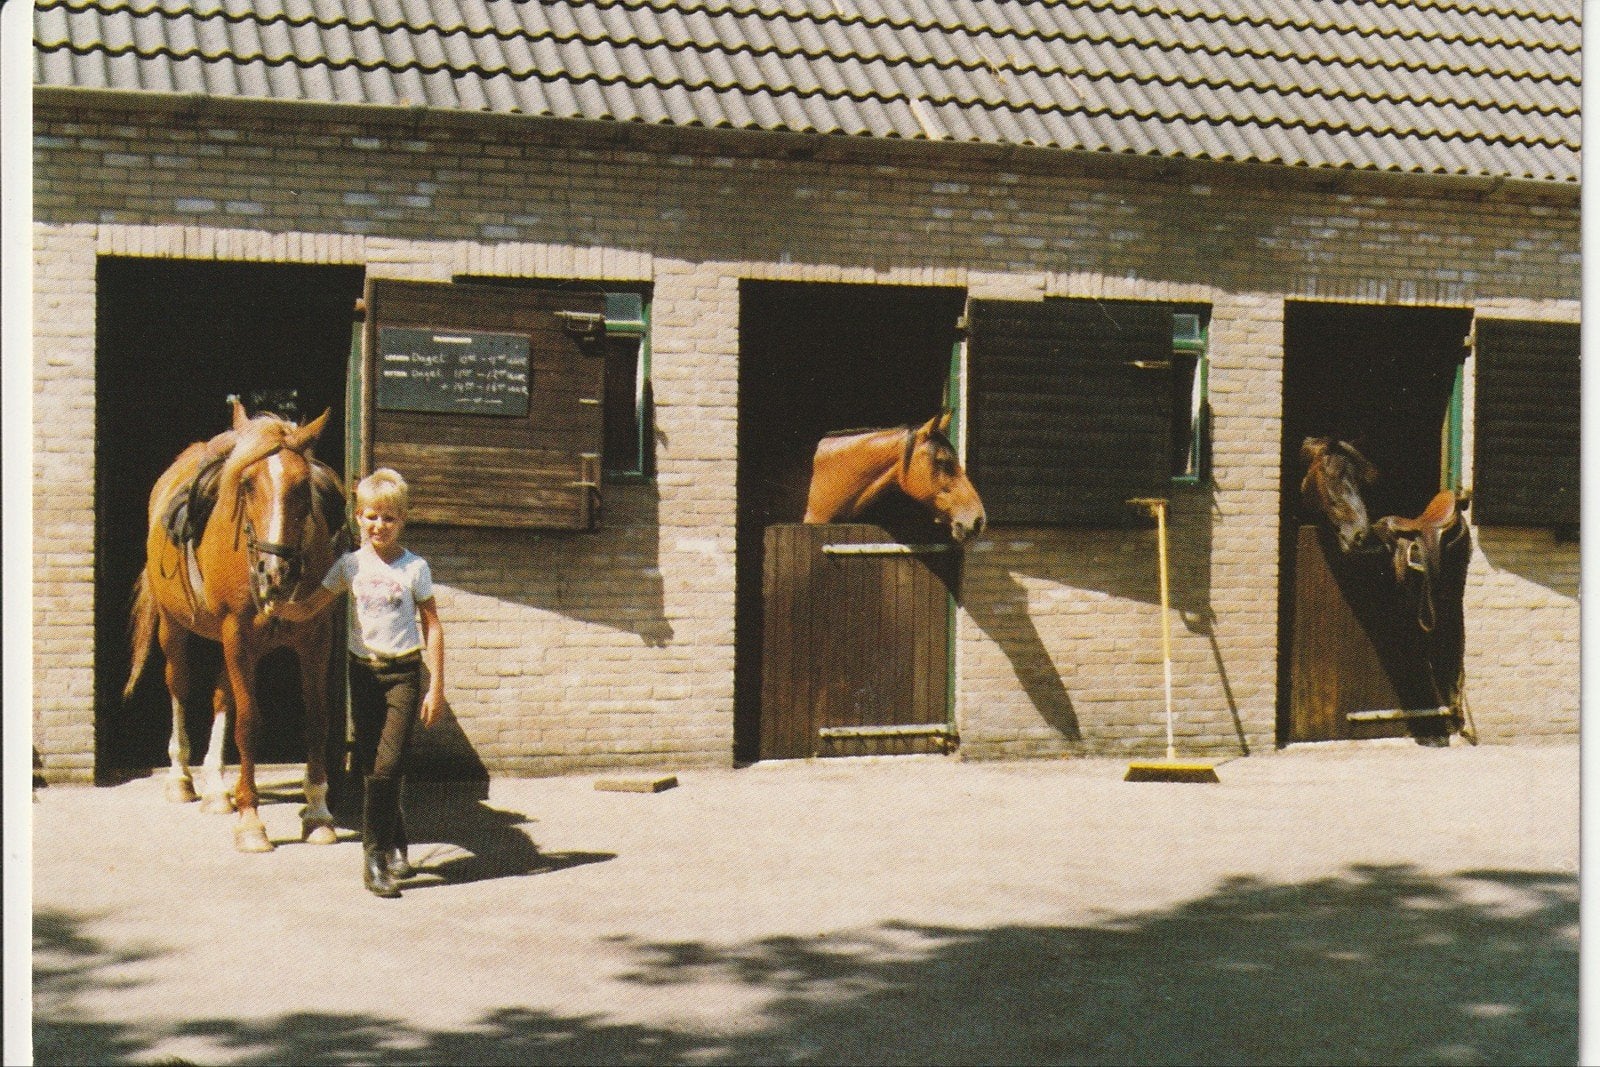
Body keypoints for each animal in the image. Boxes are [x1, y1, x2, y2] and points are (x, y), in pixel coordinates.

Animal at [124, 399, 347, 852]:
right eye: (246, 484)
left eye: (303, 486)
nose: (275, 571)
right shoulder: (238, 635)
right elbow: (248, 723)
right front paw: (251, 821)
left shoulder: (316, 637)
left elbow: (317, 718)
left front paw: (318, 812)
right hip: (175, 628)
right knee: (179, 687)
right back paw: (182, 778)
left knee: (220, 698)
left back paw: (215, 789)